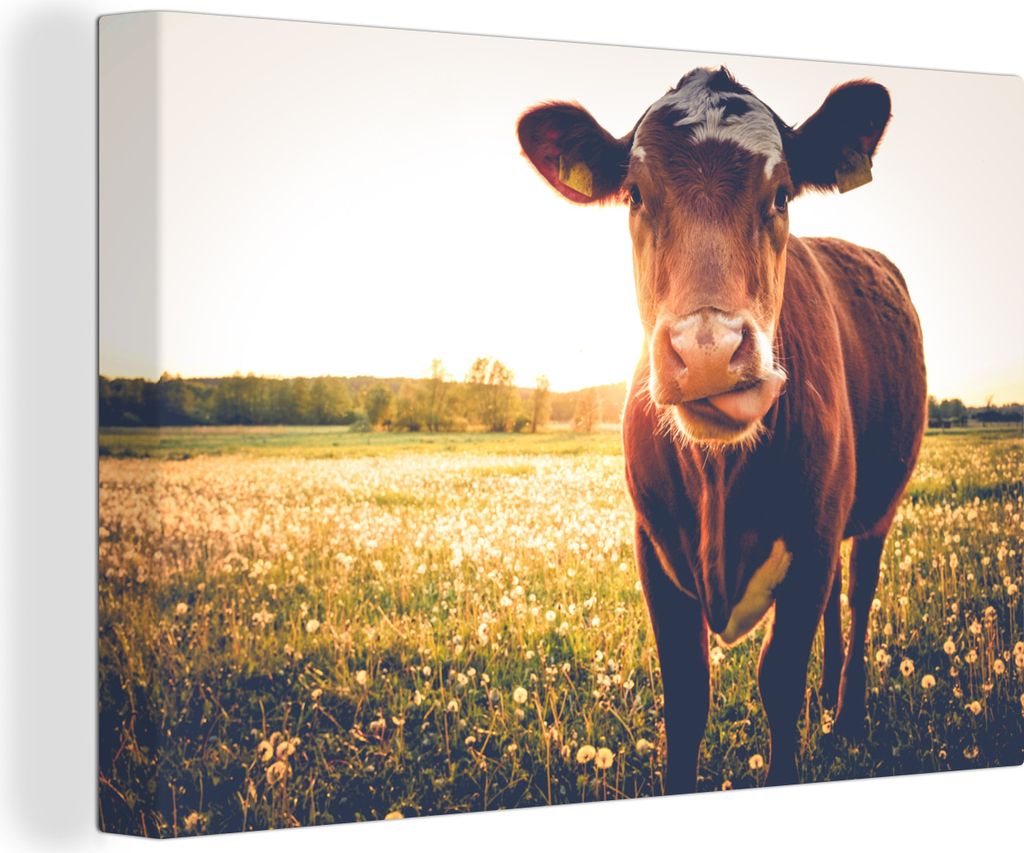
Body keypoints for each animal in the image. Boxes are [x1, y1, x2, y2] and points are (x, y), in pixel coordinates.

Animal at [517, 66, 926, 792]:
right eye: (635, 194)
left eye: (782, 194)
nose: (707, 350)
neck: (720, 483)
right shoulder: (653, 546)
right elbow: (687, 694)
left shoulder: (813, 537)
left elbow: (778, 681)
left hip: (878, 506)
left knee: (859, 593)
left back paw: (846, 711)